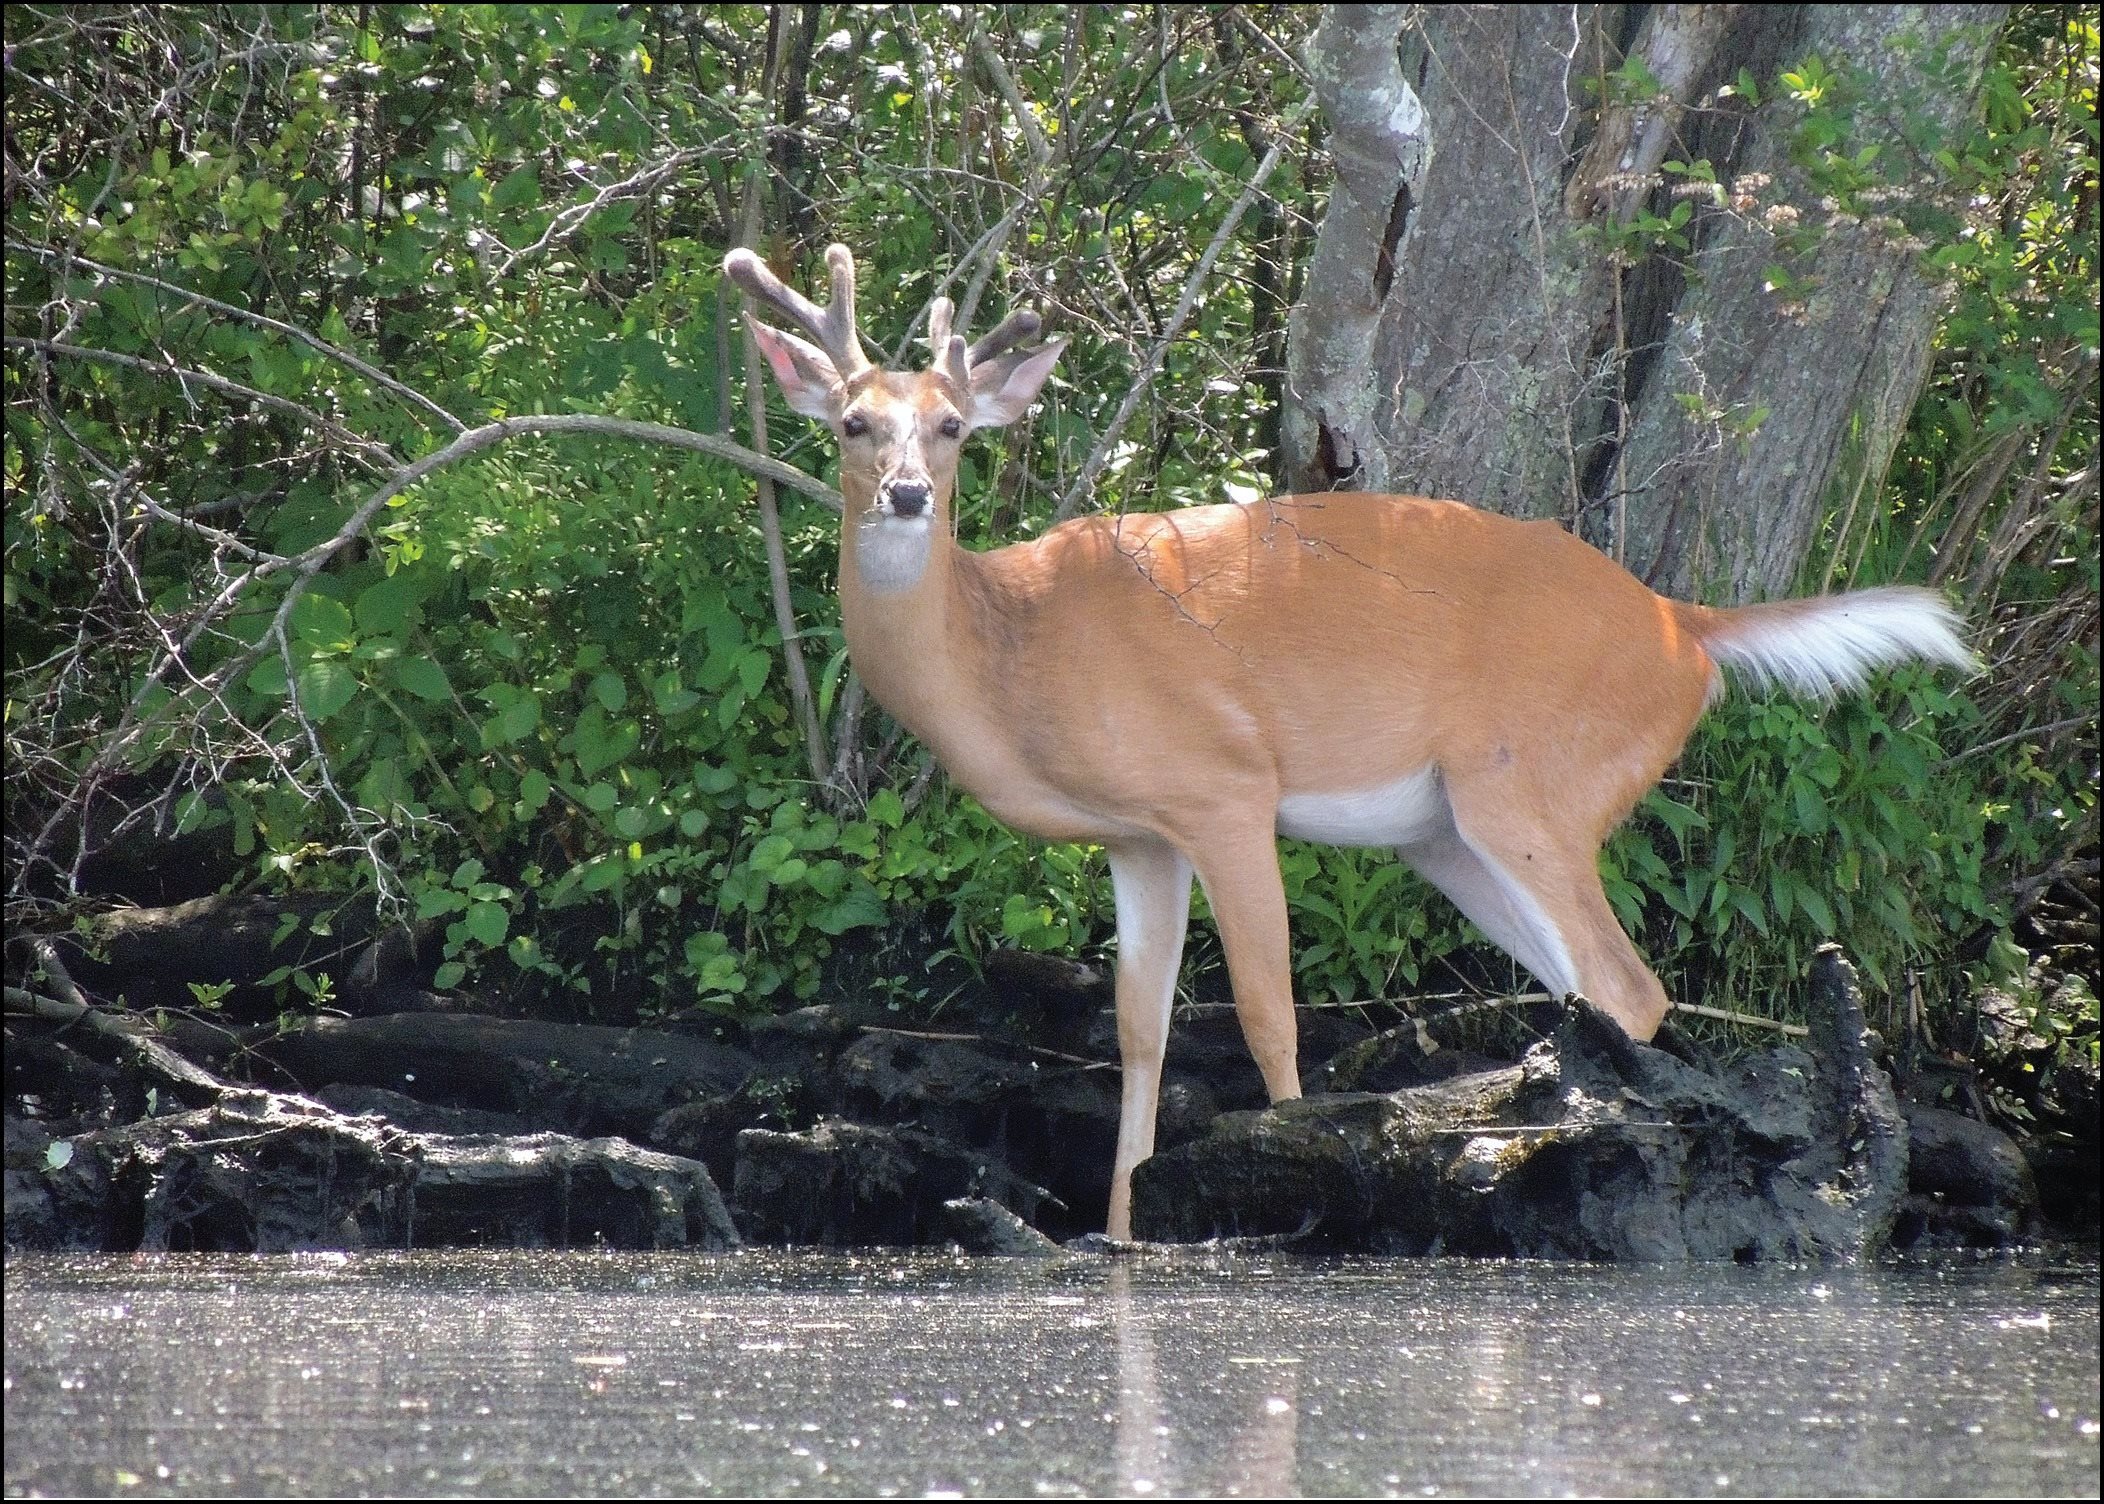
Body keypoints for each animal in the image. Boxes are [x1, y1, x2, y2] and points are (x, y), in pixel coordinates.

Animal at [723, 240, 1969, 1245]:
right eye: (851, 422)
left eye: (949, 427)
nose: (904, 495)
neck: (1010, 651)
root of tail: (1685, 626)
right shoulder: (1139, 836)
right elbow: (1138, 1029)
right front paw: (1122, 1229)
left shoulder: (1224, 783)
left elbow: (1267, 1015)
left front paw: (1276, 1184)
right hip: (1449, 836)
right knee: (1597, 991)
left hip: (1531, 780)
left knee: (1629, 979)